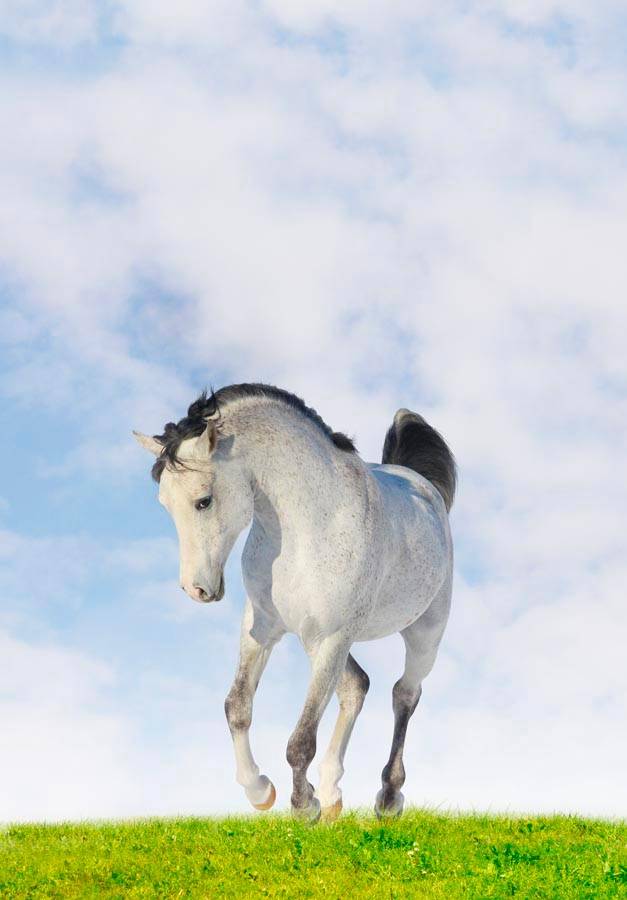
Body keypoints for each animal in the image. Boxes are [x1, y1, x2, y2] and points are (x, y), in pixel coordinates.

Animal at [134, 384, 456, 820]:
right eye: (165, 504)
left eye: (204, 500)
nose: (196, 589)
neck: (309, 524)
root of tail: (423, 486)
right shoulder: (262, 627)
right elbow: (237, 706)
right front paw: (261, 791)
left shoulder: (334, 638)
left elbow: (301, 739)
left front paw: (304, 806)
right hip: (315, 642)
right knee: (356, 687)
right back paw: (334, 793)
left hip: (421, 635)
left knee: (404, 695)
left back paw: (388, 797)